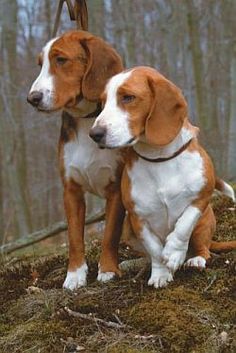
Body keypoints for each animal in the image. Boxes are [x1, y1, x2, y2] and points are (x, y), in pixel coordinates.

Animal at [27, 29, 125, 288]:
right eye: (41, 64)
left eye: (61, 60)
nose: (32, 98)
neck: (86, 120)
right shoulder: (71, 190)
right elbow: (73, 237)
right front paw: (74, 275)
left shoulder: (116, 189)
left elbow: (110, 233)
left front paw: (107, 270)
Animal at [89, 66, 235, 288]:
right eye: (103, 102)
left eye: (128, 97)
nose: (94, 134)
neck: (159, 159)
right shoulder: (138, 217)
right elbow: (155, 250)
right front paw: (160, 274)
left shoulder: (200, 198)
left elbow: (183, 226)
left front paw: (174, 253)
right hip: (127, 230)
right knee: (148, 255)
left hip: (205, 221)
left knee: (203, 249)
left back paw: (194, 259)